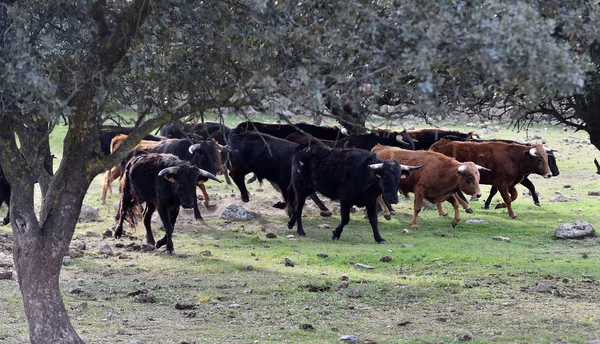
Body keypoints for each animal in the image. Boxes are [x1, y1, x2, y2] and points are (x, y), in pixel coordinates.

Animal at [288, 146, 422, 243]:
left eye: (398, 178)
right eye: (384, 177)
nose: (393, 200)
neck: (366, 174)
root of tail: (300, 153)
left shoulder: (371, 201)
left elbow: (374, 220)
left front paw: (379, 238)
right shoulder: (345, 200)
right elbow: (345, 219)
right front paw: (335, 234)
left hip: (307, 190)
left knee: (296, 205)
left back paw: (290, 223)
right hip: (300, 189)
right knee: (298, 208)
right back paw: (301, 231)